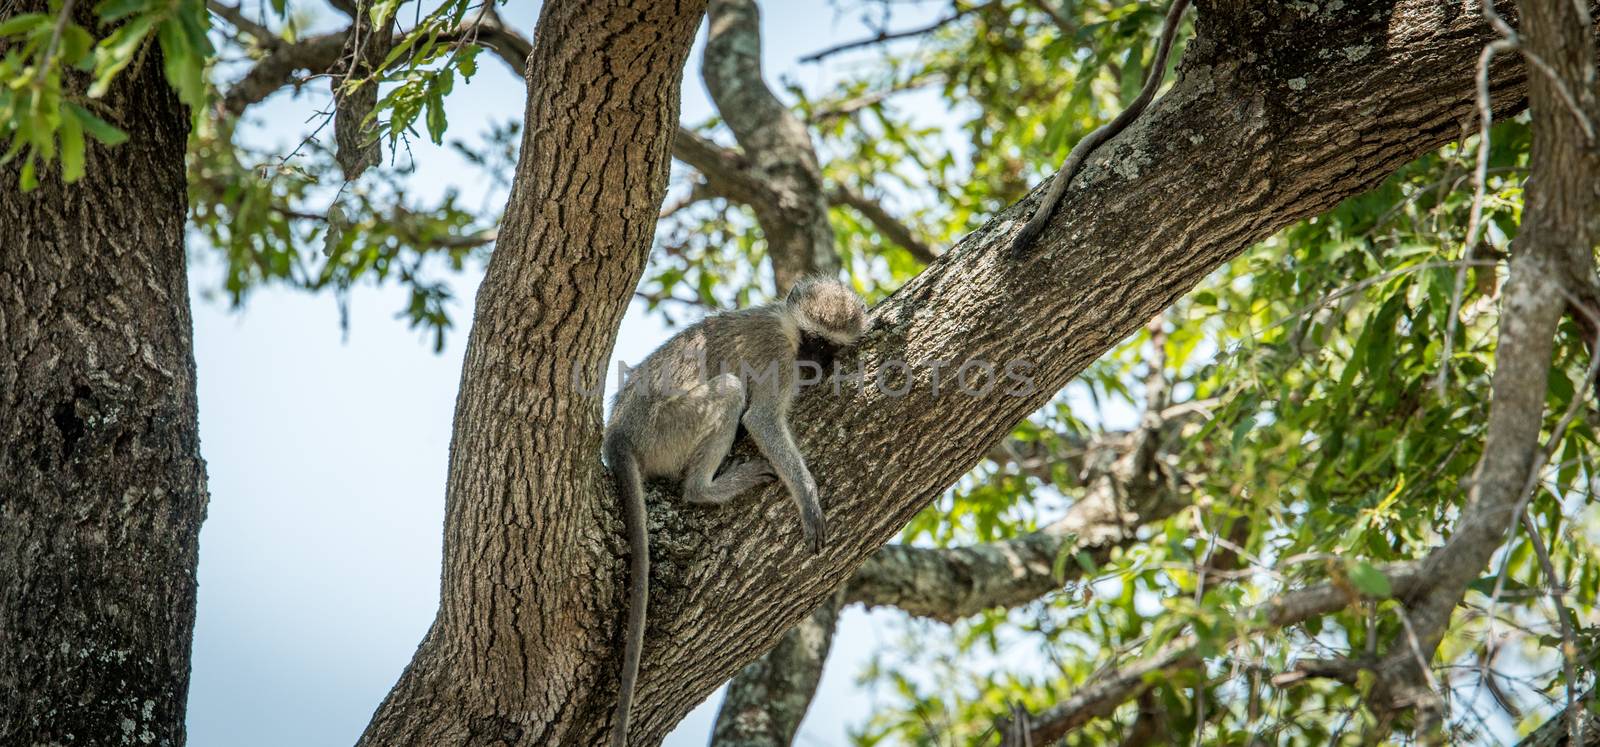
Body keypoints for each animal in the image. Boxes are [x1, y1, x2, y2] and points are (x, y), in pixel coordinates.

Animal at [604, 278, 870, 745]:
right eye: (813, 339)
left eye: (830, 346)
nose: (815, 364)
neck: (786, 329)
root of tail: (618, 434)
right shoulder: (778, 362)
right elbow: (762, 419)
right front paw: (807, 495)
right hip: (667, 427)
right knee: (728, 390)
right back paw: (706, 489)